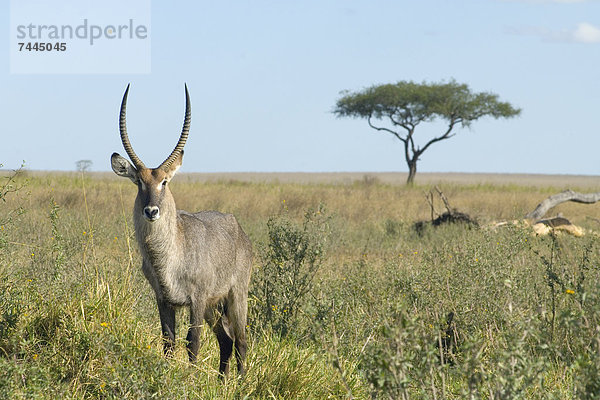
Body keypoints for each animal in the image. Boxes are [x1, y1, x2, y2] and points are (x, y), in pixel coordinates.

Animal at [110, 83, 253, 376]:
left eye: (164, 181)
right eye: (139, 182)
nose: (151, 211)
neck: (170, 255)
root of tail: (237, 227)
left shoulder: (196, 299)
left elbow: (193, 342)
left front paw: (190, 379)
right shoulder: (164, 299)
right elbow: (169, 342)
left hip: (235, 295)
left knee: (241, 341)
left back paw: (242, 382)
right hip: (213, 305)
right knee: (226, 340)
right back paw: (222, 381)